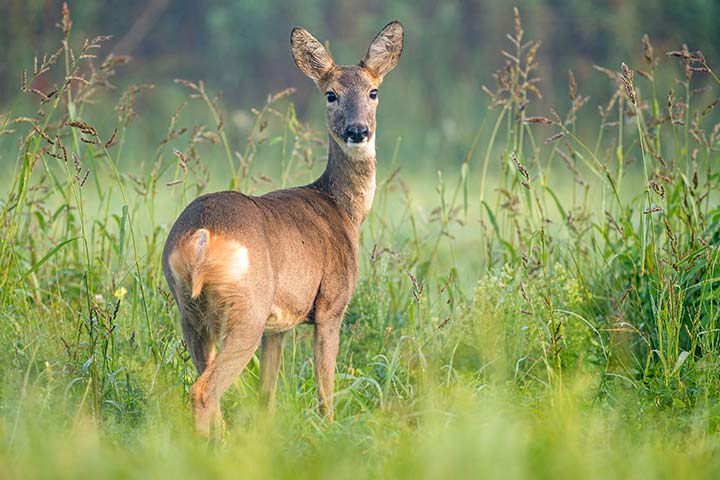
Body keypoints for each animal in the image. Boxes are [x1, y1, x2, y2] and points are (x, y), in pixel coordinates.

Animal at [160, 21, 402, 436]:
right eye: (331, 95)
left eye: (373, 91)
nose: (358, 131)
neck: (343, 210)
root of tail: (202, 237)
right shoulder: (331, 305)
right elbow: (325, 386)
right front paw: (330, 431)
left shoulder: (279, 325)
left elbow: (266, 396)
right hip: (246, 310)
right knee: (204, 391)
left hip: (189, 312)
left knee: (207, 382)